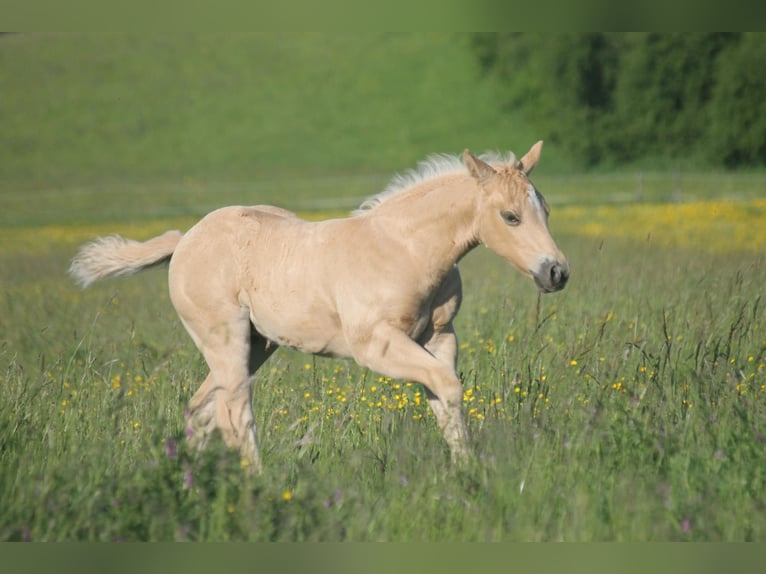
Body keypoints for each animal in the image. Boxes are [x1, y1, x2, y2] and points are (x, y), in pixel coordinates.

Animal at [69, 141, 569, 473]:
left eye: (544, 209)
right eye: (510, 217)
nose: (556, 272)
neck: (404, 249)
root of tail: (184, 240)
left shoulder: (440, 337)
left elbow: (444, 396)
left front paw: (467, 471)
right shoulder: (376, 346)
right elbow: (447, 387)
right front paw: (467, 472)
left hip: (257, 344)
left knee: (201, 409)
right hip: (224, 338)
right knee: (234, 412)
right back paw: (258, 484)